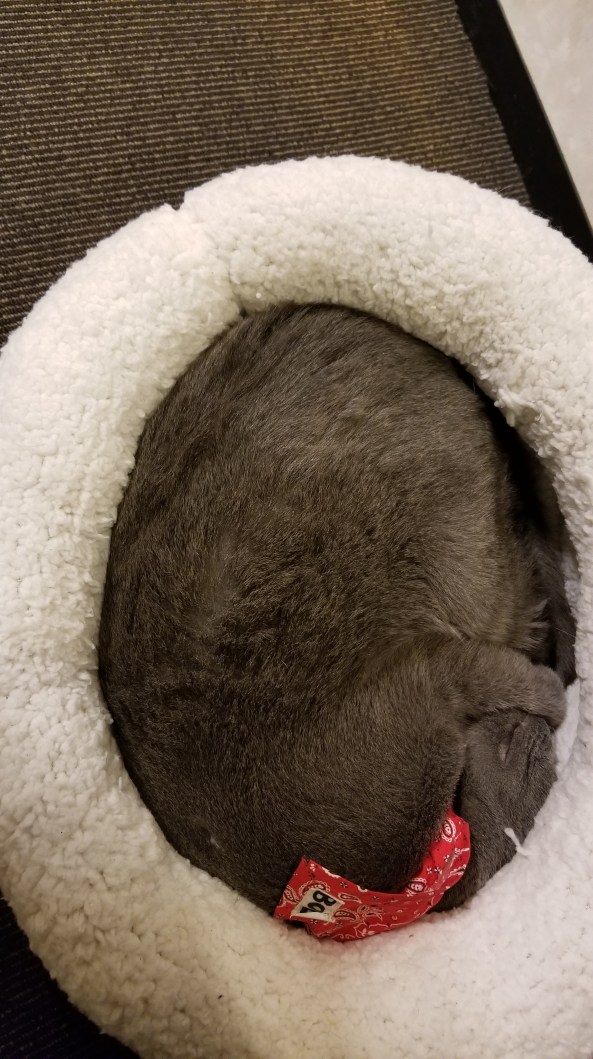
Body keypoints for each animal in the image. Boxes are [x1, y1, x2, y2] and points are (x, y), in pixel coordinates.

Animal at [99, 304, 575, 916]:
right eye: (517, 751)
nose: (525, 733)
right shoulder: (429, 679)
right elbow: (516, 680)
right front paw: (552, 699)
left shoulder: (427, 676)